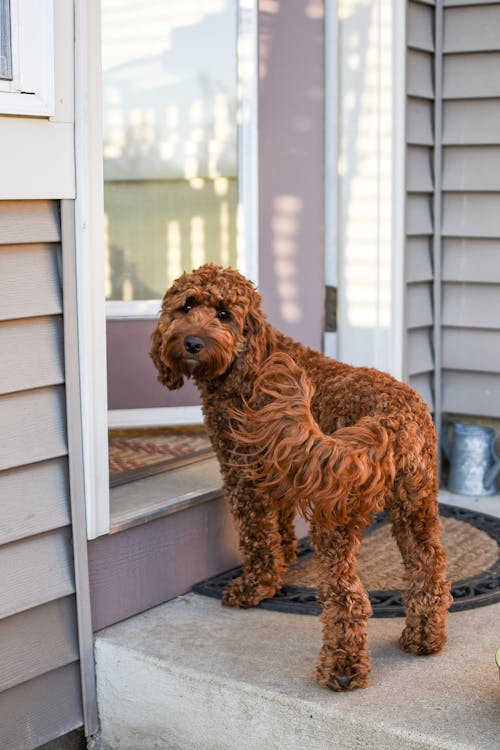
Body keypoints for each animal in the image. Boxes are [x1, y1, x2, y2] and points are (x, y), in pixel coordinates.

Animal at [150, 264, 452, 692]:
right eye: (187, 305)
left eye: (225, 314)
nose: (192, 342)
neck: (249, 362)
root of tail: (390, 421)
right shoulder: (277, 472)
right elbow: (279, 525)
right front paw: (287, 558)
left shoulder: (241, 474)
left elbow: (257, 538)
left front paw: (255, 586)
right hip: (416, 504)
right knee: (430, 569)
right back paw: (424, 638)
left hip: (337, 518)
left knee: (348, 596)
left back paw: (341, 669)